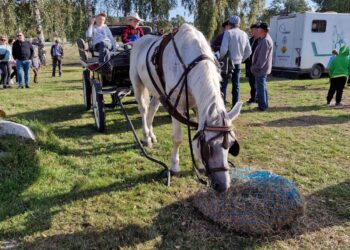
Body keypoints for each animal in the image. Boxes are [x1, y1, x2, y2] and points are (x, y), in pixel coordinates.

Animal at [130, 23, 242, 191]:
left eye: (231, 146)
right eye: (209, 147)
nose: (223, 186)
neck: (191, 63)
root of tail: (140, 39)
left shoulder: (198, 106)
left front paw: (199, 164)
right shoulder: (176, 104)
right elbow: (177, 138)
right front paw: (175, 166)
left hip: (157, 90)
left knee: (152, 109)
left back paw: (151, 135)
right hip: (137, 83)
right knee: (143, 109)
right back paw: (146, 137)